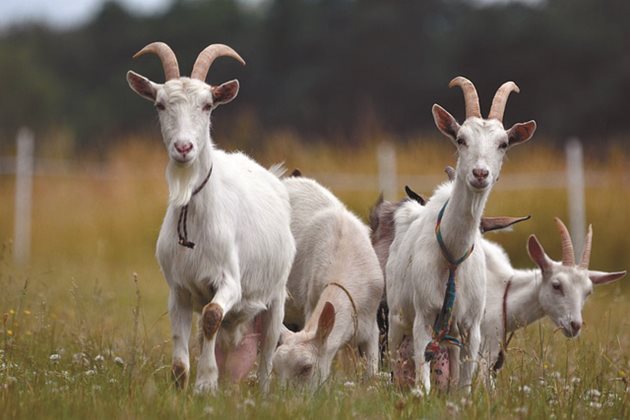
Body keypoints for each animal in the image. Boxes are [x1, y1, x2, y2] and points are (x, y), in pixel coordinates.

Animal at [128, 42, 298, 394]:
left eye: (207, 105)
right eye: (160, 104)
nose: (183, 147)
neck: (193, 217)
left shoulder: (229, 281)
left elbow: (210, 317)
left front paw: (206, 383)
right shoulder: (177, 289)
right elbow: (181, 340)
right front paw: (181, 387)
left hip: (276, 297)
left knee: (267, 350)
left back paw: (263, 392)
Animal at [386, 76, 540, 394]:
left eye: (503, 143)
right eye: (460, 139)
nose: (480, 173)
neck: (453, 256)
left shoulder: (471, 326)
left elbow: (465, 383)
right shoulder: (424, 317)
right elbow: (423, 376)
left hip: (451, 331)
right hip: (397, 316)